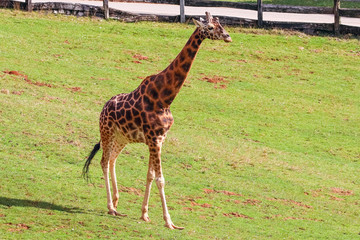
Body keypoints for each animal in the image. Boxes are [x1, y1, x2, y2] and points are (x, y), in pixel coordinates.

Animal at [83, 12, 232, 230]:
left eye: (221, 24)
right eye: (210, 28)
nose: (228, 36)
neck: (164, 98)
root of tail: (103, 108)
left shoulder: (159, 139)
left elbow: (150, 175)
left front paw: (145, 214)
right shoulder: (154, 138)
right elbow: (161, 178)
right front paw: (169, 222)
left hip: (122, 138)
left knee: (112, 160)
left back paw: (117, 202)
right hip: (107, 132)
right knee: (103, 161)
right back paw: (111, 207)